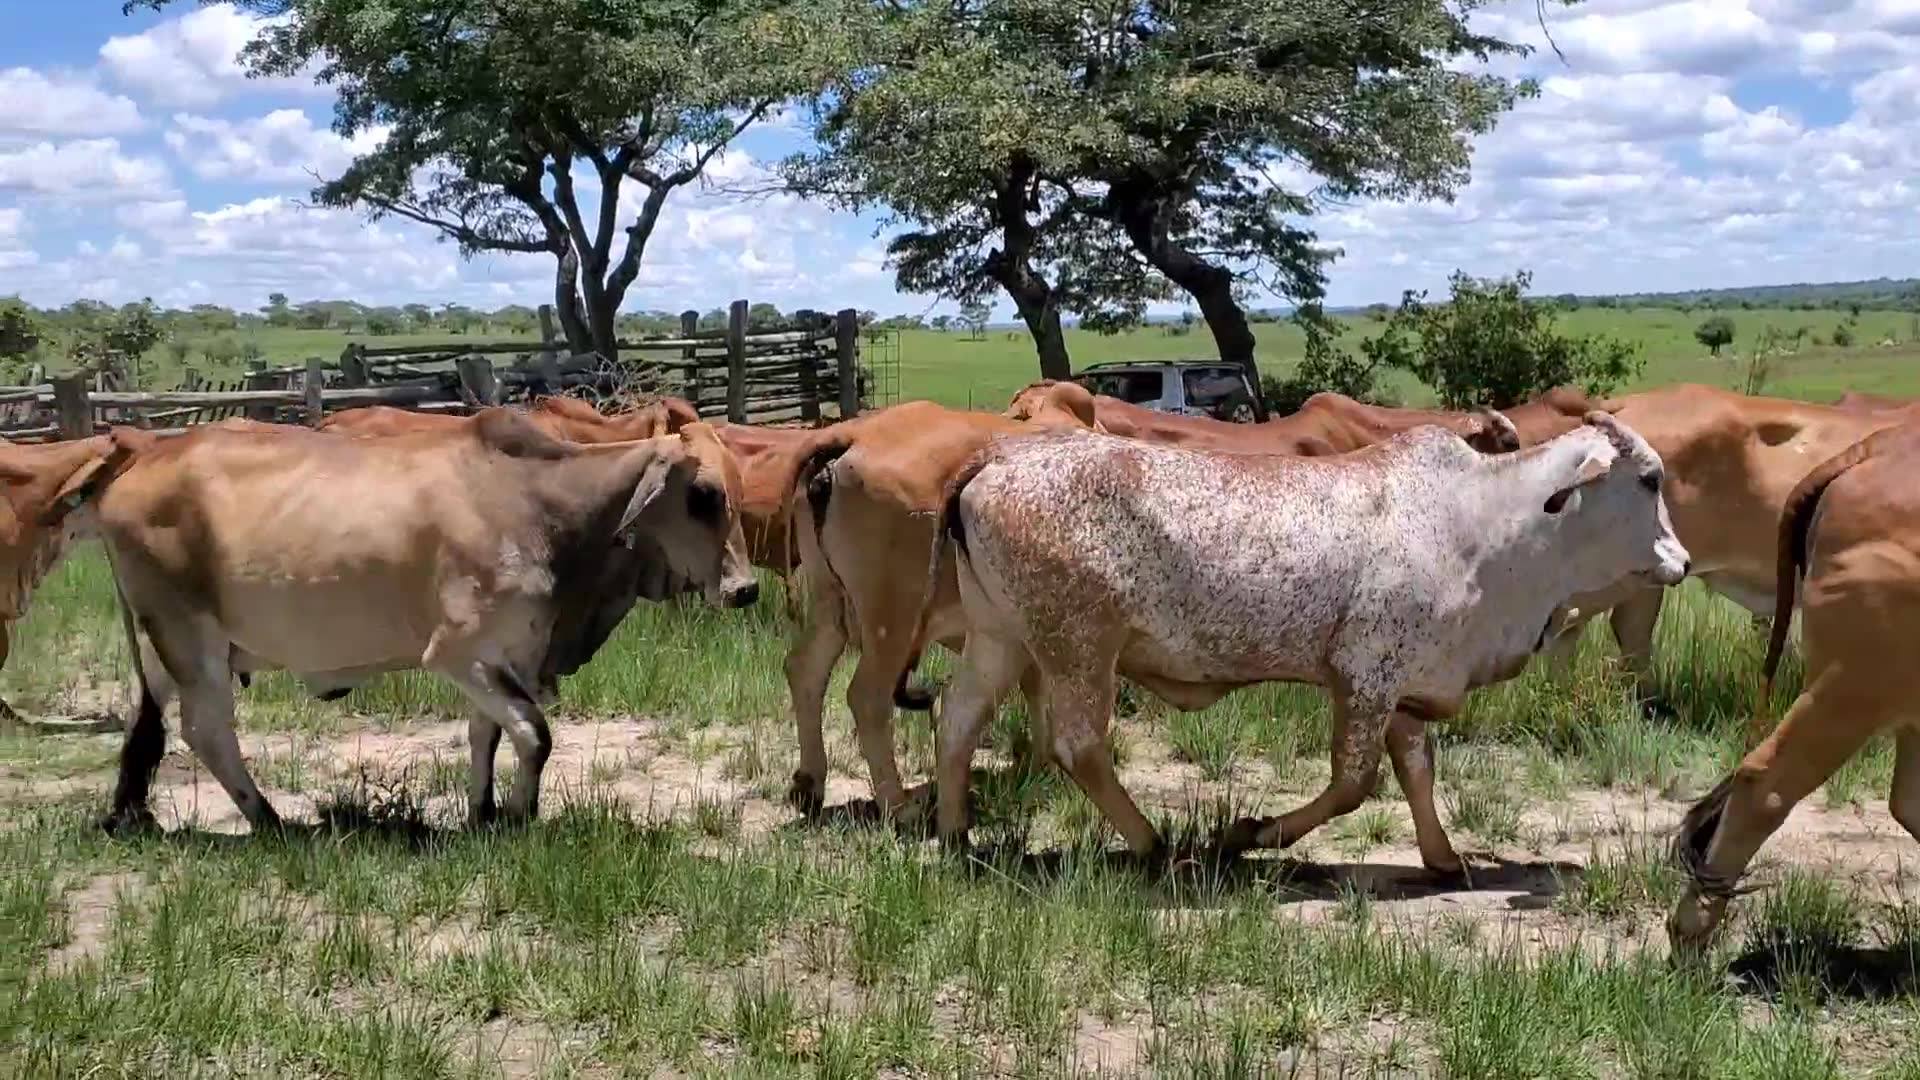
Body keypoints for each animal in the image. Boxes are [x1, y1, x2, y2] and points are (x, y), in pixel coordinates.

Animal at [92, 409, 758, 835]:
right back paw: (269, 819)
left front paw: (484, 814)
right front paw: (521, 817)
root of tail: (137, 467)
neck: (542, 505)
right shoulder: (457, 651)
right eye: (702, 495)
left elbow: (489, 733)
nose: (746, 590)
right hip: (187, 637)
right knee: (205, 729)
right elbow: (534, 733)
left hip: (161, 646)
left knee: (151, 724)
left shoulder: (509, 654)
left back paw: (135, 813)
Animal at [923, 416, 1688, 867]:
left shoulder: (1405, 681)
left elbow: (1417, 771)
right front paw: (1252, 833)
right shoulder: (1365, 674)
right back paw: (1149, 842)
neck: (1486, 525)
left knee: (957, 721)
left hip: (1000, 639)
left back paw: (956, 834)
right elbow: (1353, 783)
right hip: (1079, 647)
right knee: (1078, 746)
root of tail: (994, 460)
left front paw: (1443, 858)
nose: (1679, 561)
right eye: (1650, 479)